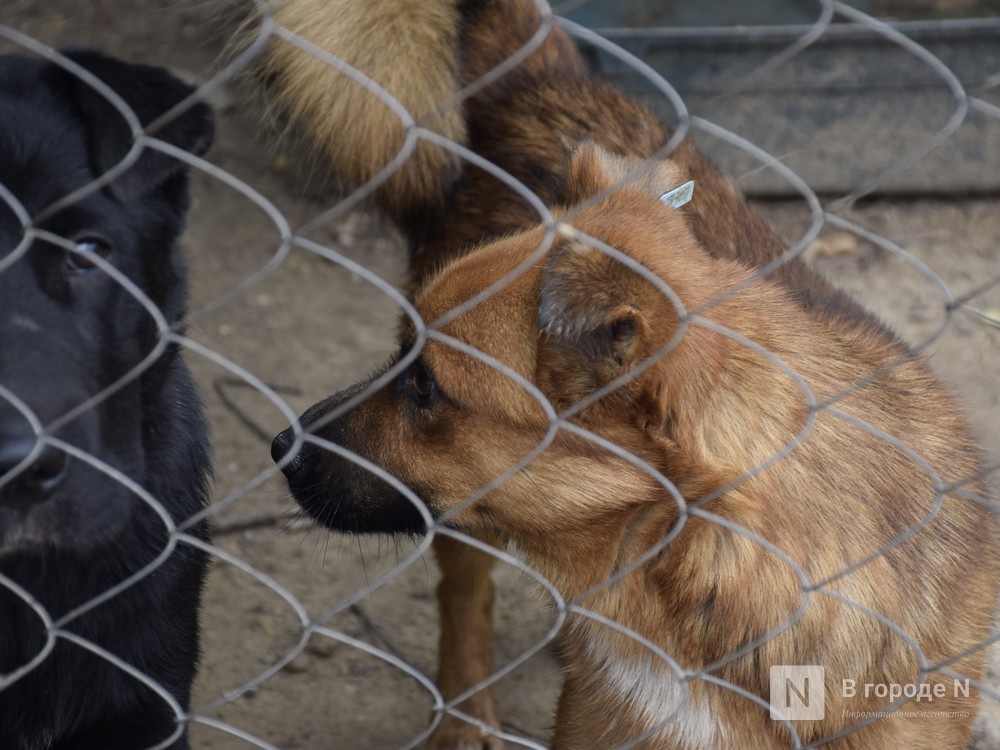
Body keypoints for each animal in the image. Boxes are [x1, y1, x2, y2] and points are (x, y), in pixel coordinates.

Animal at [256, 2, 992, 748]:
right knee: (462, 594)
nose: (280, 447)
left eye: (425, 385)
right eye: (409, 361)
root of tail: (540, 85)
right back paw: (464, 719)